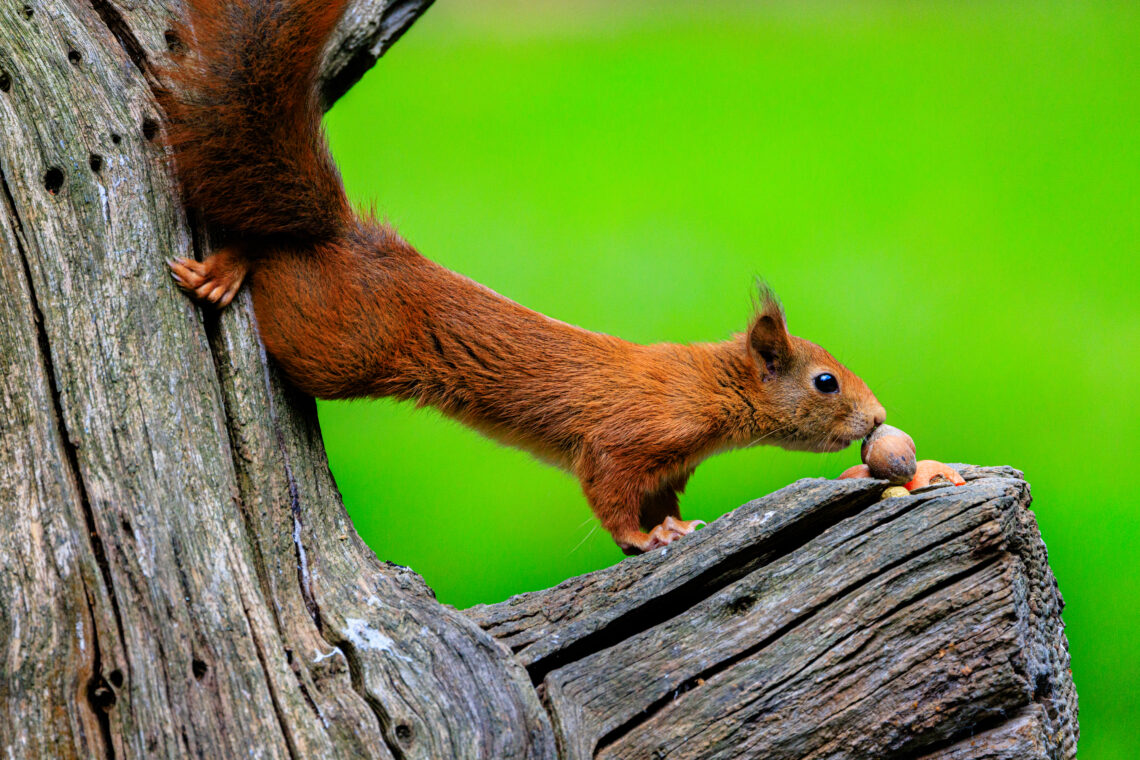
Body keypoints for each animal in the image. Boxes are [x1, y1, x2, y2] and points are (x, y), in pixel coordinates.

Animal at [163, 0, 889, 553]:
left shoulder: (668, 470)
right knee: (271, 263)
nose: (879, 418)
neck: (706, 386)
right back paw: (227, 269)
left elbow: (659, 501)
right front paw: (646, 539)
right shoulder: (626, 439)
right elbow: (610, 495)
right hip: (336, 346)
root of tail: (350, 238)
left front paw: (676, 527)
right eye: (825, 382)